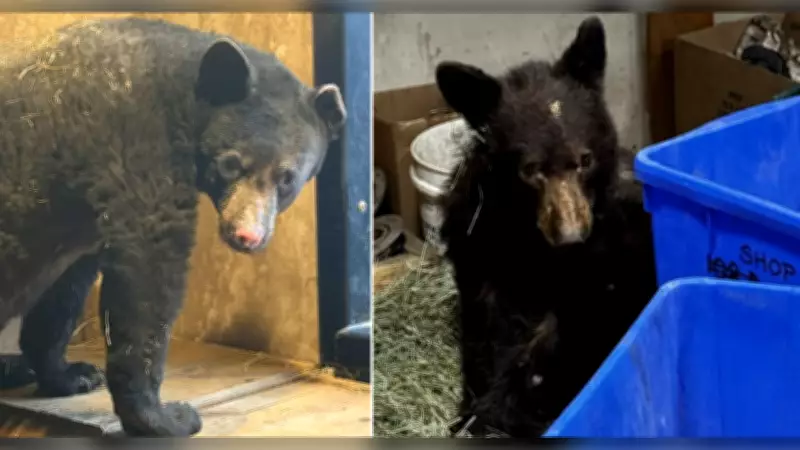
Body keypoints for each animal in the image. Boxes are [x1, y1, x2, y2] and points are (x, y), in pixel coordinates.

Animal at [0, 17, 346, 437]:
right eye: (230, 163)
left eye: (286, 178)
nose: (247, 235)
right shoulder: (138, 151)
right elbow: (148, 272)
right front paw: (164, 417)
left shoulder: (81, 216)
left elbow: (65, 290)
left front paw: (70, 374)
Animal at [434, 17, 658, 438]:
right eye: (530, 170)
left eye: (585, 160)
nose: (571, 237)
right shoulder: (477, 246)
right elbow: (486, 334)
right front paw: (477, 410)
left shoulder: (606, 265)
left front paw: (503, 410)